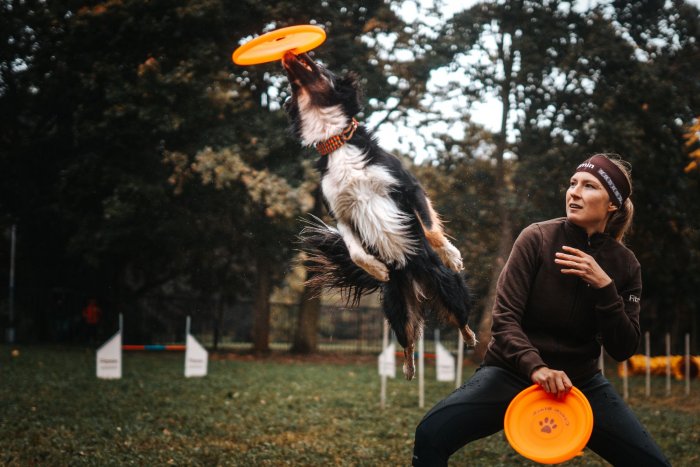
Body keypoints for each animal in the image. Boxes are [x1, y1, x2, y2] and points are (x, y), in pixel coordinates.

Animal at [284, 52, 476, 380]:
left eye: (320, 67)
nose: (297, 54)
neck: (337, 143)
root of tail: (418, 284)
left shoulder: (408, 186)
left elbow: (430, 229)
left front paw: (451, 254)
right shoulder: (341, 214)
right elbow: (355, 251)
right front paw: (377, 269)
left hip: (449, 289)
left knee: (461, 319)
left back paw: (472, 338)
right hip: (396, 308)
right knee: (408, 339)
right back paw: (409, 368)